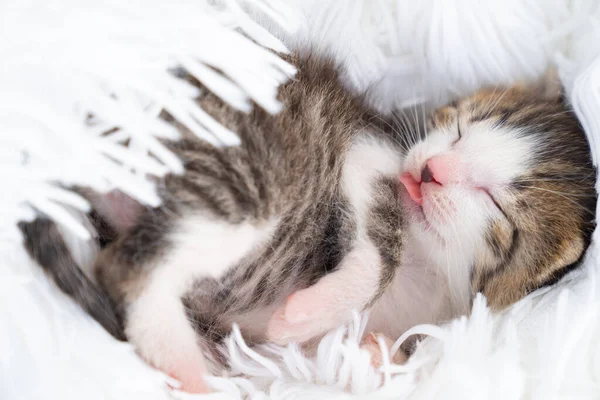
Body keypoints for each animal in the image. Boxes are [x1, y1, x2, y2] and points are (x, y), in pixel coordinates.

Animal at [18, 53, 596, 394]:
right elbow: (380, 250)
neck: (433, 268)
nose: (429, 171)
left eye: (497, 205)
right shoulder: (366, 148)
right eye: (459, 126)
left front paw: (374, 354)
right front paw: (307, 312)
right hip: (252, 181)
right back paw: (189, 365)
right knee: (129, 267)